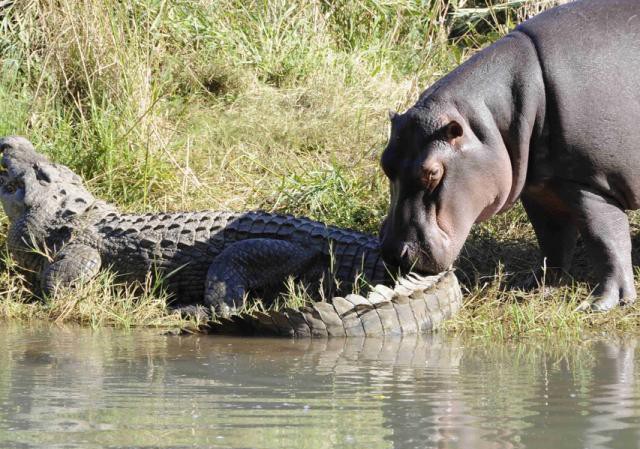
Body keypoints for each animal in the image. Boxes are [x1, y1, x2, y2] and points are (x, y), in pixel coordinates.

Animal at [380, 0, 640, 310]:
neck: (487, 123)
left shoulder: (591, 183)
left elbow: (606, 242)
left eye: (432, 172)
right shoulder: (542, 189)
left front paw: (602, 304)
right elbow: (552, 240)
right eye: (384, 163)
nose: (393, 253)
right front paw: (534, 287)